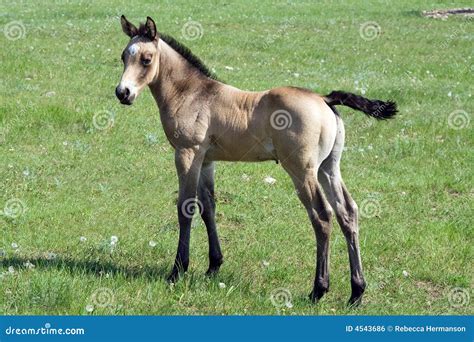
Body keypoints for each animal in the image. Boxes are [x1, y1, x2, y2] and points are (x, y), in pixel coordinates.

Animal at [115, 16, 396, 306]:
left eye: (146, 59)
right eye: (124, 56)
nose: (122, 93)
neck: (191, 94)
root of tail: (324, 99)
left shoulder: (186, 154)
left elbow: (186, 208)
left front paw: (177, 270)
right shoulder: (206, 161)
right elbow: (208, 208)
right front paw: (213, 266)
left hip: (302, 171)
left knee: (322, 216)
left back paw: (318, 289)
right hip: (328, 168)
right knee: (347, 212)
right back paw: (356, 291)